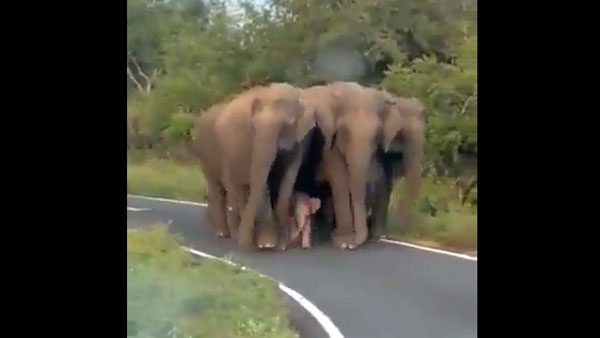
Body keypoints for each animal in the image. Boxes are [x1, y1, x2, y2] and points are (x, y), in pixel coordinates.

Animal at [192, 83, 316, 250]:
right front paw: (266, 243)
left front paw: (280, 246)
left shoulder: (302, 139)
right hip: (207, 153)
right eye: (254, 126)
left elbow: (287, 180)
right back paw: (225, 234)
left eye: (287, 124)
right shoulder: (251, 140)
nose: (244, 244)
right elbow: (259, 181)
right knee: (221, 189)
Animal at [304, 82, 426, 248]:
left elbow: (378, 182)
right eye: (344, 132)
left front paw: (359, 240)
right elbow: (340, 179)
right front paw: (345, 242)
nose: (354, 244)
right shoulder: (328, 143)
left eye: (376, 135)